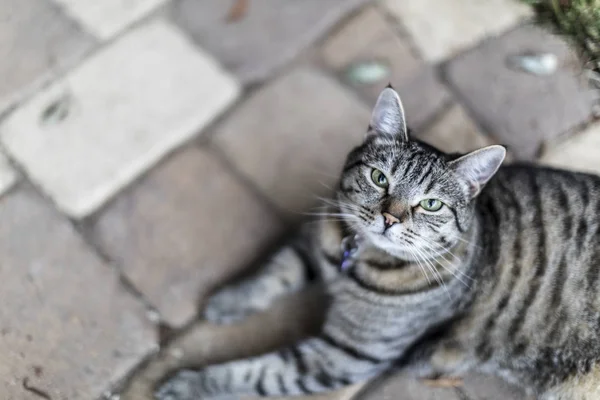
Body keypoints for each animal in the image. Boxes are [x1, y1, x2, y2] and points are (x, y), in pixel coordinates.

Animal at [157, 87, 600, 400]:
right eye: (379, 178)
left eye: (431, 204)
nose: (390, 218)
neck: (357, 260)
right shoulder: (318, 239)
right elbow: (276, 270)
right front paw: (230, 300)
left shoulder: (348, 355)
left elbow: (260, 372)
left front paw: (192, 384)